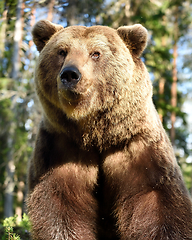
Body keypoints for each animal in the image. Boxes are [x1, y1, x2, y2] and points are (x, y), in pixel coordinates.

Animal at [27, 19, 192, 239]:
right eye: (61, 51)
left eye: (96, 53)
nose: (70, 74)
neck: (97, 135)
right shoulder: (61, 147)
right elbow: (60, 202)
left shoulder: (137, 148)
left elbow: (156, 201)